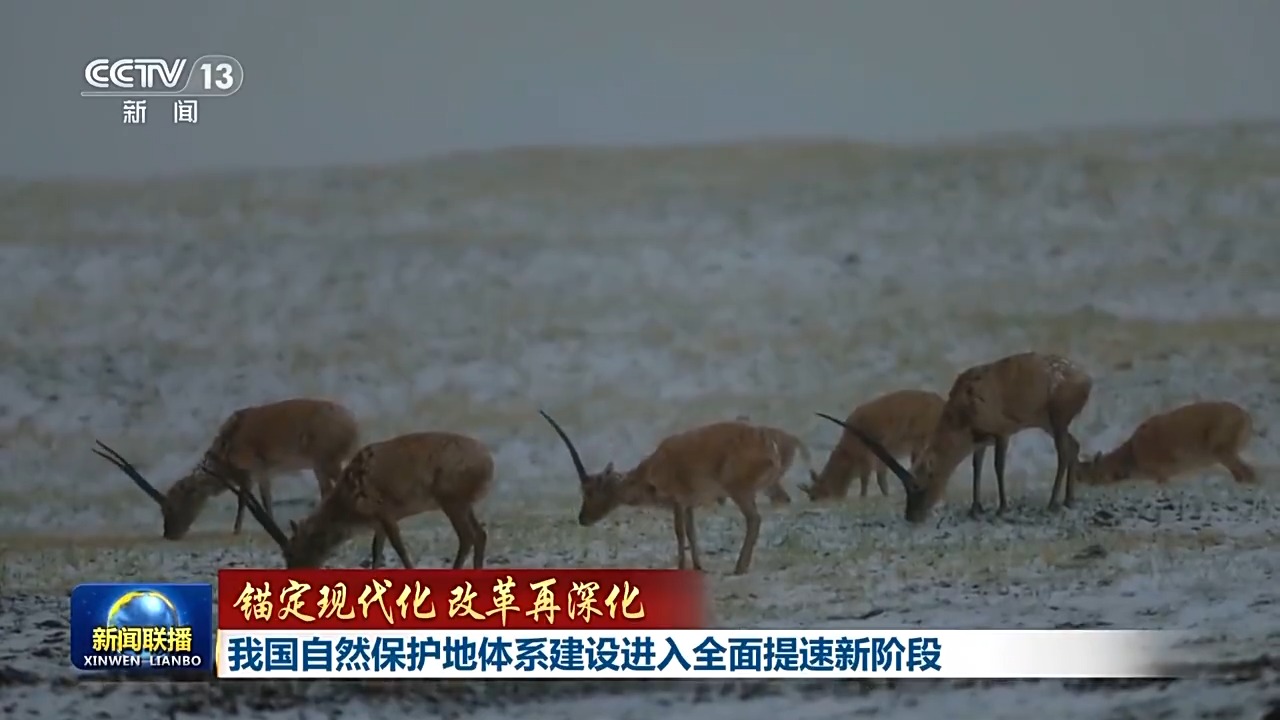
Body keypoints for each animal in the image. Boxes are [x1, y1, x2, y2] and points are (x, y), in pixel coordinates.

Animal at [199, 427, 488, 568]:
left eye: (291, 551)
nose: (295, 573)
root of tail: (488, 460)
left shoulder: (385, 514)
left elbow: (399, 548)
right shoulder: (377, 524)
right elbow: (377, 552)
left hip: (452, 503)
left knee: (468, 537)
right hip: (463, 505)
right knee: (480, 535)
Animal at [535, 409, 783, 571]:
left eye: (590, 491)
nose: (582, 519)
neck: (651, 470)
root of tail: (769, 446)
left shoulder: (677, 500)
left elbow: (679, 531)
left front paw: (681, 567)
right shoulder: (688, 504)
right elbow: (691, 532)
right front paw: (698, 566)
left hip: (739, 490)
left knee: (754, 520)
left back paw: (739, 568)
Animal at [819, 351, 1090, 520]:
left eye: (918, 485)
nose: (911, 517)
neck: (963, 405)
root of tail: (1085, 377)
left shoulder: (1001, 434)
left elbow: (998, 466)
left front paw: (1001, 508)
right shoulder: (980, 441)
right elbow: (977, 466)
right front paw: (975, 508)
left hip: (1056, 420)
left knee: (1063, 451)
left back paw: (1053, 503)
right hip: (1048, 423)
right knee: (1074, 446)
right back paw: (1069, 500)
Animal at [1075, 399, 1254, 484]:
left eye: (1088, 471)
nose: (1078, 478)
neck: (1131, 454)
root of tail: (1246, 416)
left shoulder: (1161, 474)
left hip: (1222, 451)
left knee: (1248, 472)